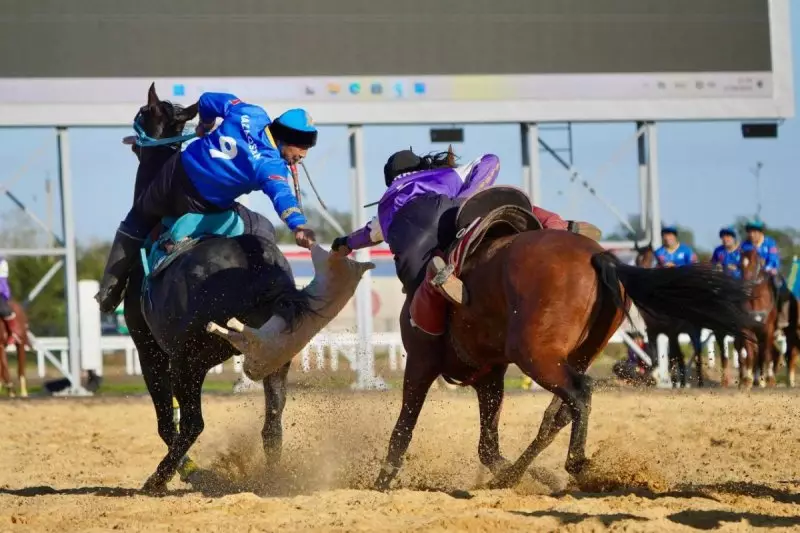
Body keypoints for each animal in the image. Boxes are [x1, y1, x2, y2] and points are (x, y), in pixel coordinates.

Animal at [123, 81, 310, 492]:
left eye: (143, 113)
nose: (131, 140)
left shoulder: (150, 351)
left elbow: (167, 422)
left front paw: (189, 472)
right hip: (274, 358)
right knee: (272, 423)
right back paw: (272, 481)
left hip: (185, 362)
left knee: (192, 423)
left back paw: (159, 479)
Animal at [376, 188, 756, 490]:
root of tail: (599, 258)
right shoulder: (490, 377)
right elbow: (487, 446)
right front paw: (527, 476)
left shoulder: (421, 363)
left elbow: (402, 431)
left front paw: (381, 481)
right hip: (574, 355)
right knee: (558, 414)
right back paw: (522, 475)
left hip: (535, 355)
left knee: (579, 393)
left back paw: (576, 464)